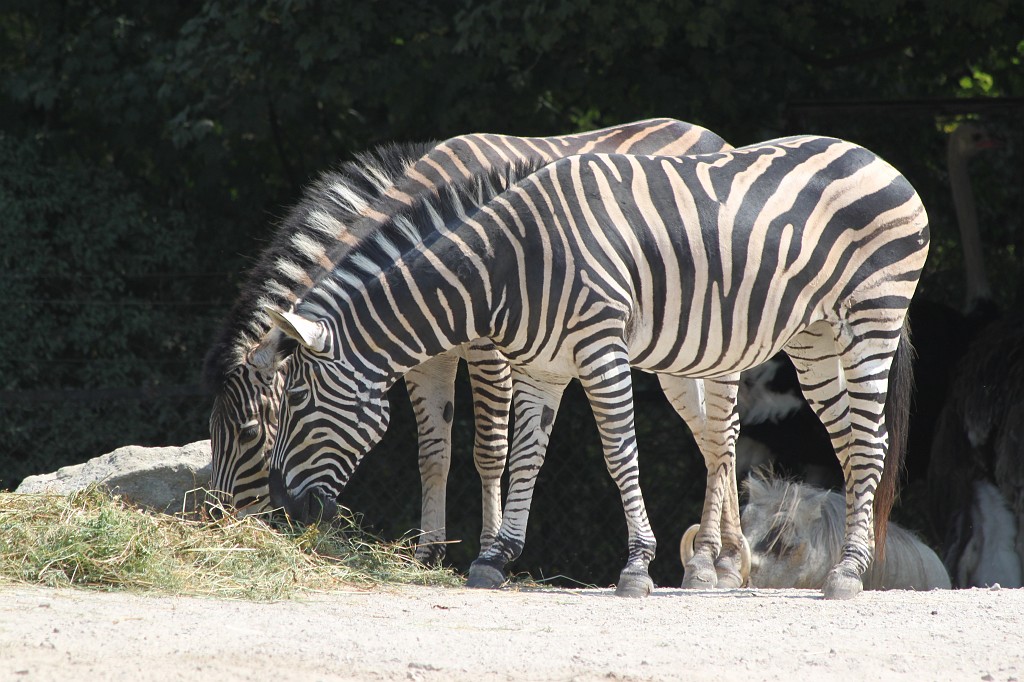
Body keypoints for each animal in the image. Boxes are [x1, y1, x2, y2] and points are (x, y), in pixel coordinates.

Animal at [202, 118, 732, 565]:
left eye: (250, 432)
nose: (217, 522)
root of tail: (707, 132)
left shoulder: (489, 346)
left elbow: (490, 449)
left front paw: (491, 548)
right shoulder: (421, 358)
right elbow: (433, 452)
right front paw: (428, 553)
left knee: (722, 431)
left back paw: (716, 561)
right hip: (680, 349)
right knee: (709, 433)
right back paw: (720, 562)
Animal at [264, 135, 929, 600]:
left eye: (295, 403)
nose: (282, 509)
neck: (509, 263)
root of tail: (877, 159)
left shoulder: (600, 347)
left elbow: (618, 453)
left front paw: (635, 566)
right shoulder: (543, 366)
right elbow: (526, 457)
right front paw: (496, 558)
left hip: (871, 320)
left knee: (865, 442)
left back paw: (846, 576)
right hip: (812, 337)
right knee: (846, 441)